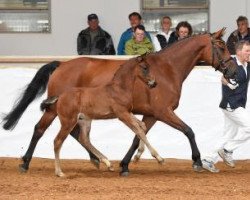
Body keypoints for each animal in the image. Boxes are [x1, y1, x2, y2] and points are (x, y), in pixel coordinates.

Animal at [1, 28, 236, 175]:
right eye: (221, 46)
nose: (233, 71)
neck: (167, 69)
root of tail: (61, 65)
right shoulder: (163, 112)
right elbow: (189, 131)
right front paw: (197, 161)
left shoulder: (150, 114)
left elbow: (136, 137)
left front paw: (125, 165)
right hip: (55, 111)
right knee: (39, 129)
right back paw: (25, 163)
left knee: (75, 134)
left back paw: (99, 160)